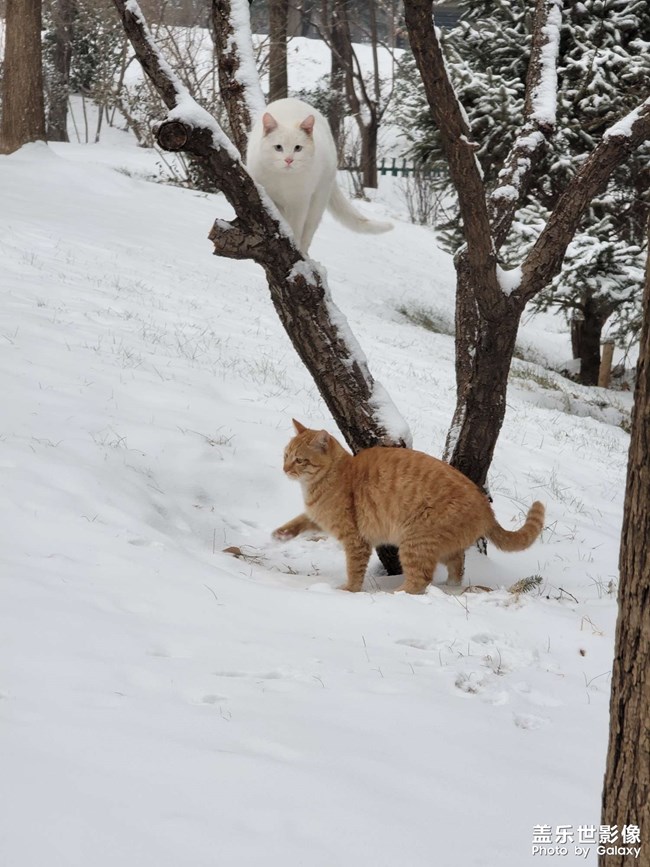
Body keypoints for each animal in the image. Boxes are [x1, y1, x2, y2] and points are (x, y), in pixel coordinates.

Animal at [246, 99, 392, 254]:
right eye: (278, 147)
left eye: (298, 148)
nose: (289, 160)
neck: (284, 180)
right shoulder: (271, 197)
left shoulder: (300, 203)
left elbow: (296, 227)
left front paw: (294, 242)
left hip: (318, 200)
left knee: (308, 230)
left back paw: (304, 252)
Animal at [270, 422, 544, 596]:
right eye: (285, 455)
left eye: (299, 460)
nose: (284, 469)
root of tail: (486, 506)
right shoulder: (318, 517)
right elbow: (300, 521)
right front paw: (280, 535)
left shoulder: (355, 539)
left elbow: (354, 570)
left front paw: (348, 591)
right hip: (442, 547)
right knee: (457, 565)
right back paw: (450, 587)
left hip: (415, 541)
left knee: (419, 580)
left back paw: (394, 595)